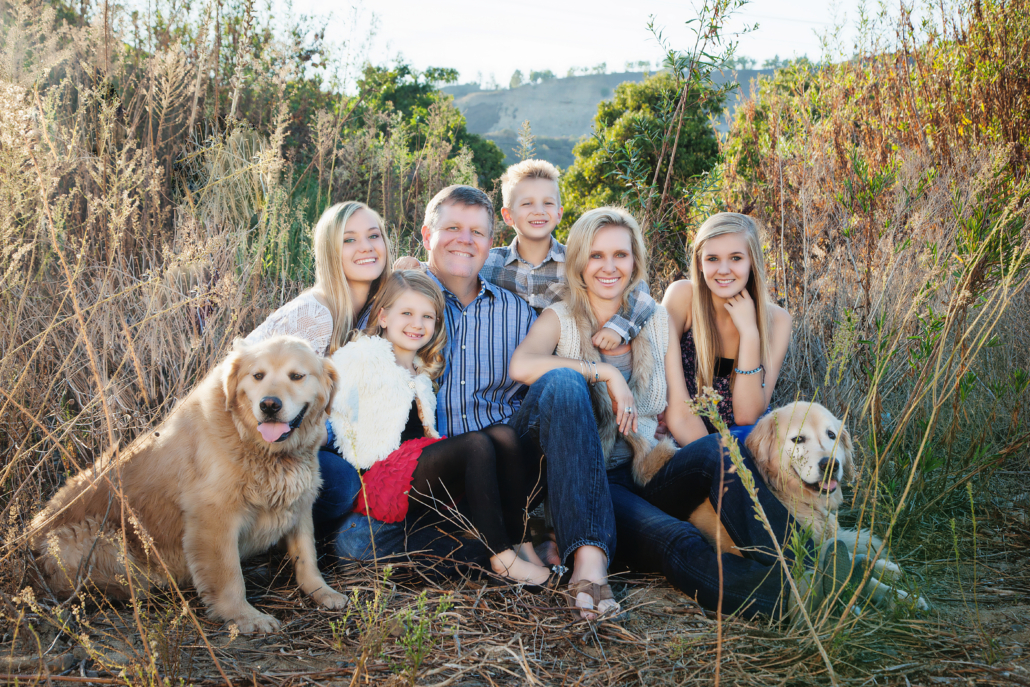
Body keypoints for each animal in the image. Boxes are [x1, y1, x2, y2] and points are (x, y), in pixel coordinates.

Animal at [29, 335, 350, 630]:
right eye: (258, 375)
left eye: (297, 376)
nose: (269, 405)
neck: (258, 445)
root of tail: (30, 537)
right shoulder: (214, 518)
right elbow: (230, 577)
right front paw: (246, 617)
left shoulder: (299, 503)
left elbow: (307, 557)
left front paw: (323, 592)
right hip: (91, 537)